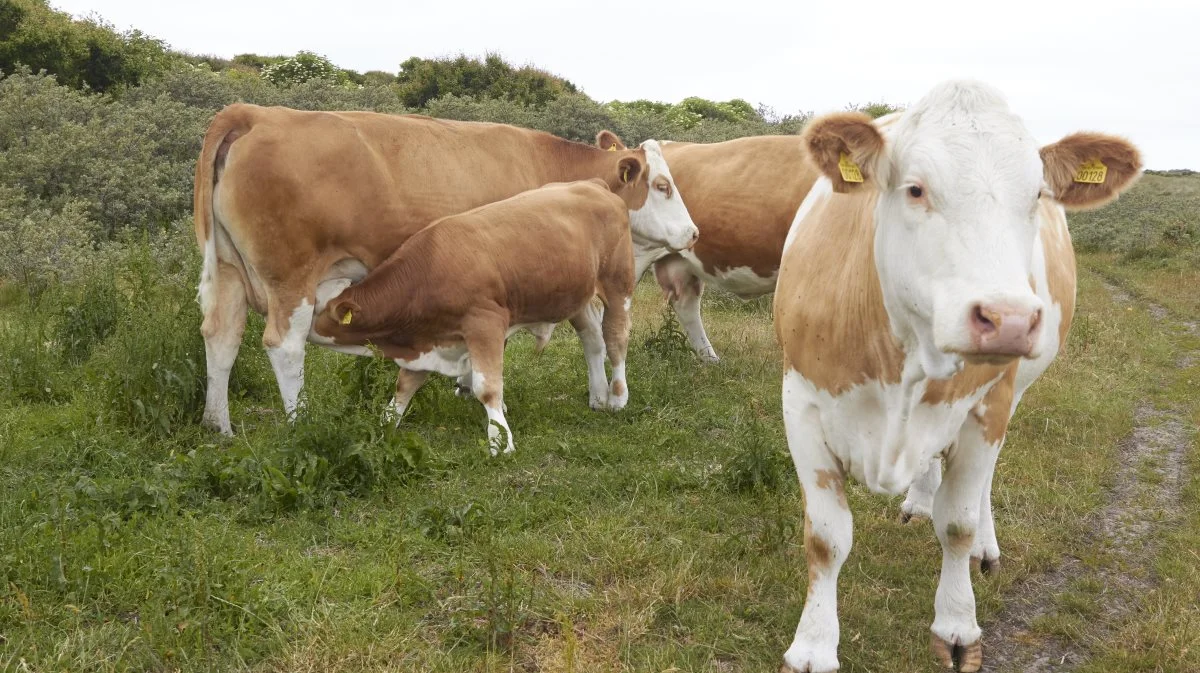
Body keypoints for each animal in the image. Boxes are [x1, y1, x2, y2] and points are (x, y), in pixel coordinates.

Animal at [314, 178, 643, 453]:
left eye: (314, 307)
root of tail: (593, 183)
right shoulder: (428, 340)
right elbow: (405, 385)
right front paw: (382, 426)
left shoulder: (485, 323)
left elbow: (487, 388)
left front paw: (500, 440)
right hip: (576, 296)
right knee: (592, 340)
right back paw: (597, 396)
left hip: (618, 284)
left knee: (615, 338)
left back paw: (617, 398)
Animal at [772, 79, 1137, 671]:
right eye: (916, 189)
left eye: (1036, 195)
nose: (1008, 318)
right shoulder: (800, 401)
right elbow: (826, 537)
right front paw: (813, 645)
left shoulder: (989, 405)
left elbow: (958, 523)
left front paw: (958, 626)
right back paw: (920, 498)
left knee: (977, 490)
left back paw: (983, 543)